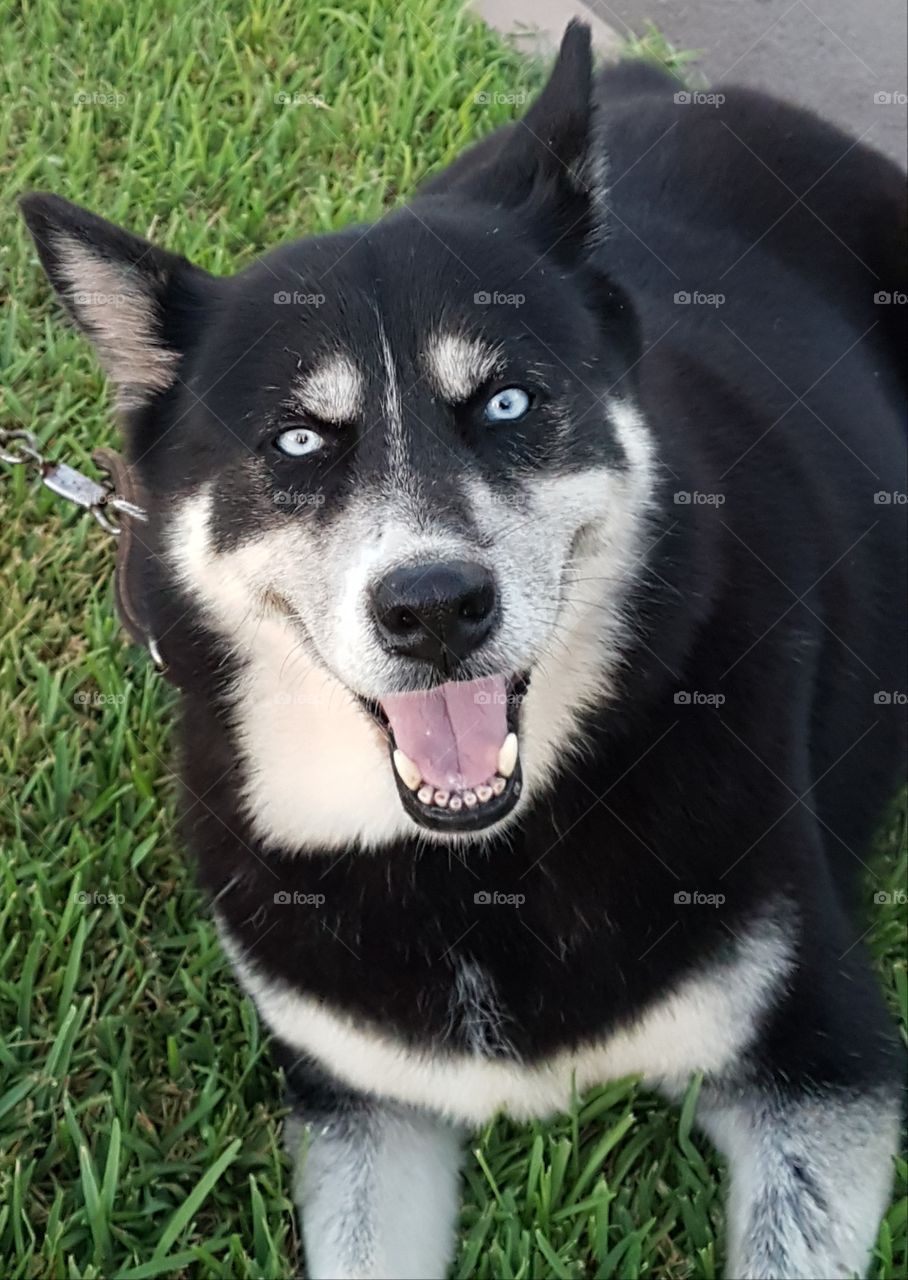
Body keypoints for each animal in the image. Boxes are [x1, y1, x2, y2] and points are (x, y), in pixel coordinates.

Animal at [23, 20, 906, 1280]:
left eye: (504, 404)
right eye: (298, 441)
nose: (434, 607)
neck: (480, 855)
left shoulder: (823, 1059)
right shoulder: (361, 1099)